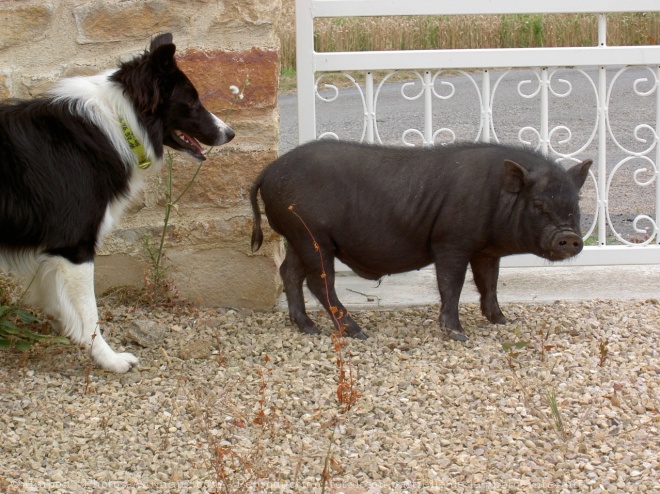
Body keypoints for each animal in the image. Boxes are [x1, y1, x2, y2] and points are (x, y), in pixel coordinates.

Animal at [0, 33, 235, 370]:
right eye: (191, 102)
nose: (230, 133)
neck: (120, 121)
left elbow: (63, 303)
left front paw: (72, 334)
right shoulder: (75, 245)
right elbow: (89, 313)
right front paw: (107, 358)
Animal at [251, 139, 592, 340]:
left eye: (574, 206)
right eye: (538, 205)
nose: (569, 238)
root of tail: (267, 172)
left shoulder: (485, 250)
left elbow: (489, 283)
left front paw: (502, 321)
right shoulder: (451, 242)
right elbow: (452, 284)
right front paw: (458, 334)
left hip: (297, 237)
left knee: (289, 273)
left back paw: (309, 328)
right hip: (313, 236)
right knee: (319, 282)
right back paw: (357, 333)